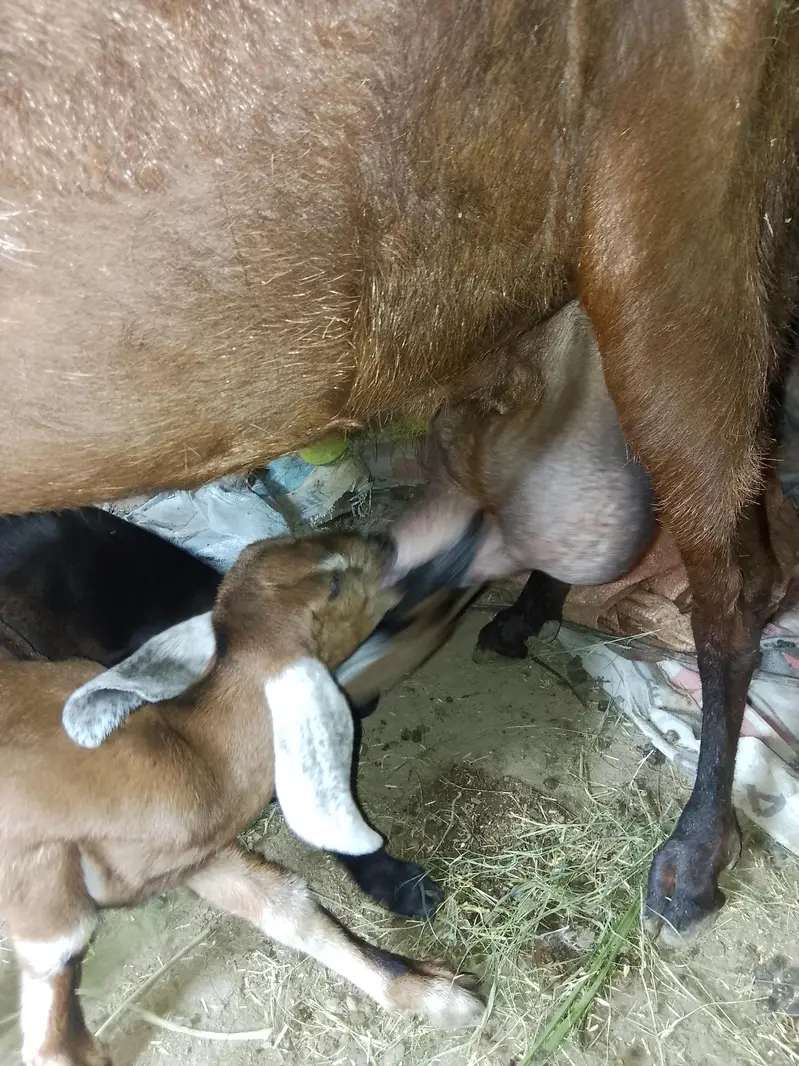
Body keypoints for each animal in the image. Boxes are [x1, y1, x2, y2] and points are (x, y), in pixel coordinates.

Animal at [0, 532, 484, 1066]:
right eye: (334, 583)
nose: (384, 542)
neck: (185, 751)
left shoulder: (187, 856)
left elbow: (289, 908)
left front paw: (436, 994)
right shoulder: (49, 920)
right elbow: (56, 1044)